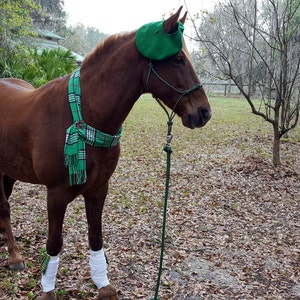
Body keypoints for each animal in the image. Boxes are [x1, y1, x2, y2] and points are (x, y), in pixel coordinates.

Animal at [0, 7, 211, 300]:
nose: (203, 112)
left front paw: (103, 284)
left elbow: (95, 236)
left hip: (9, 172)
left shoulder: (99, 189)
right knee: (5, 207)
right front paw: (48, 289)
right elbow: (54, 243)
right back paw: (14, 256)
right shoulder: (55, 193)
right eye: (178, 59)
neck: (83, 115)